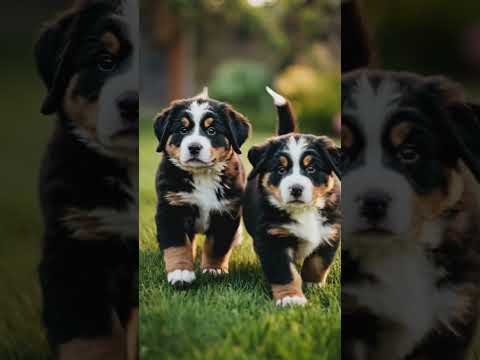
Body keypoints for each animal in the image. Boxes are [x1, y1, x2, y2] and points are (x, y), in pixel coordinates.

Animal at [154, 91, 251, 288]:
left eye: (211, 131)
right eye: (183, 130)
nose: (194, 147)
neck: (202, 176)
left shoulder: (226, 212)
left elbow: (217, 246)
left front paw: (214, 270)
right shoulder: (171, 208)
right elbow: (177, 245)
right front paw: (181, 272)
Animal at [244, 87, 342, 306]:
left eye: (311, 168)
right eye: (281, 169)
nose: (296, 188)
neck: (304, 211)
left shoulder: (330, 232)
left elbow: (317, 264)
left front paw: (313, 285)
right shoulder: (273, 238)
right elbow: (285, 273)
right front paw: (291, 299)